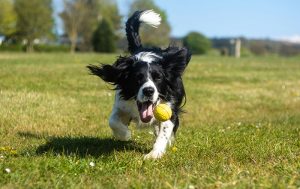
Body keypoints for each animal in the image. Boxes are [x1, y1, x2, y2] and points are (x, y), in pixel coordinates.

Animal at [86, 9, 191, 159]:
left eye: (158, 78)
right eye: (137, 78)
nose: (149, 91)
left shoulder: (170, 107)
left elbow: (165, 131)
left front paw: (154, 154)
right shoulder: (122, 104)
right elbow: (112, 121)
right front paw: (124, 134)